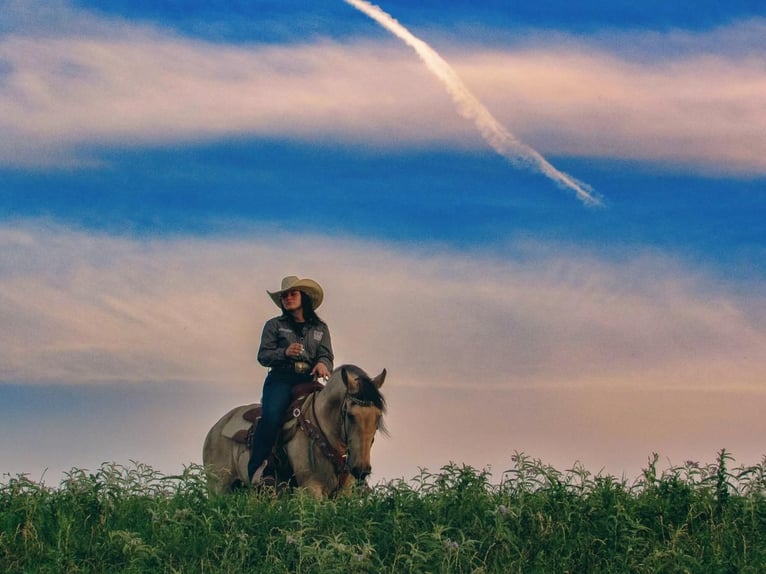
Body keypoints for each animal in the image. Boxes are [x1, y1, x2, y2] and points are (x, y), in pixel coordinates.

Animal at [202, 368, 388, 500]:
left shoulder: (344, 492)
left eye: (378, 417)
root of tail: (214, 429)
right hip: (218, 487)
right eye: (350, 415)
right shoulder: (311, 488)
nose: (361, 469)